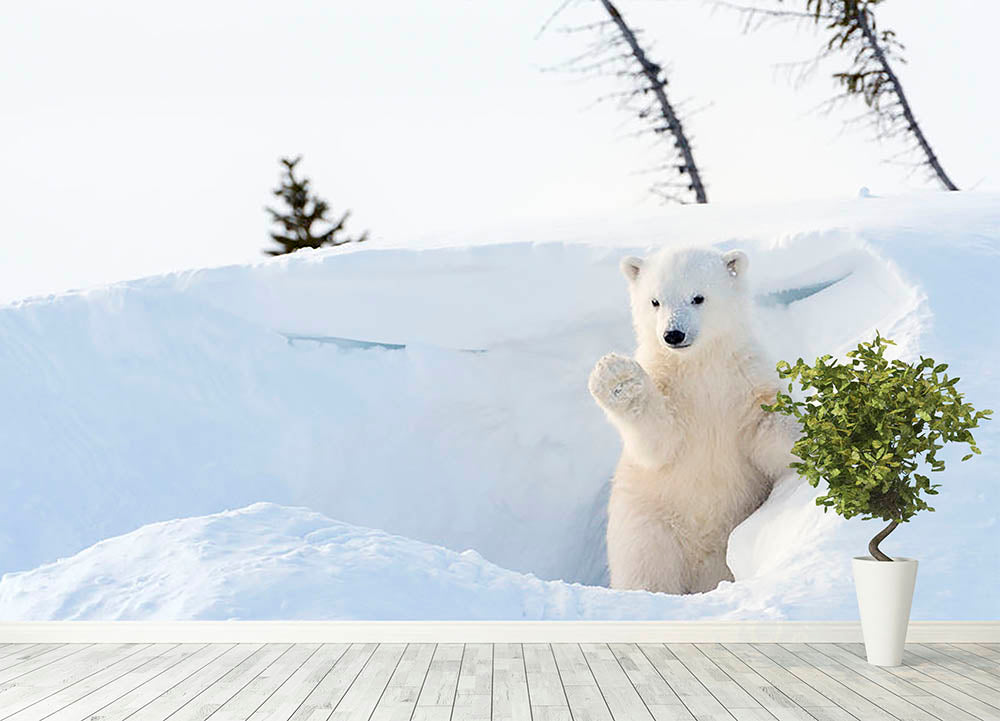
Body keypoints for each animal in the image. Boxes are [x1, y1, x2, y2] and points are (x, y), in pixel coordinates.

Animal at [588, 246, 798, 595]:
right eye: (655, 301)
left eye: (698, 297)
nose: (673, 334)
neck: (699, 366)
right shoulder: (668, 388)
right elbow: (659, 441)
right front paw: (617, 379)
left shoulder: (745, 381)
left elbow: (767, 428)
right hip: (649, 526)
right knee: (646, 570)